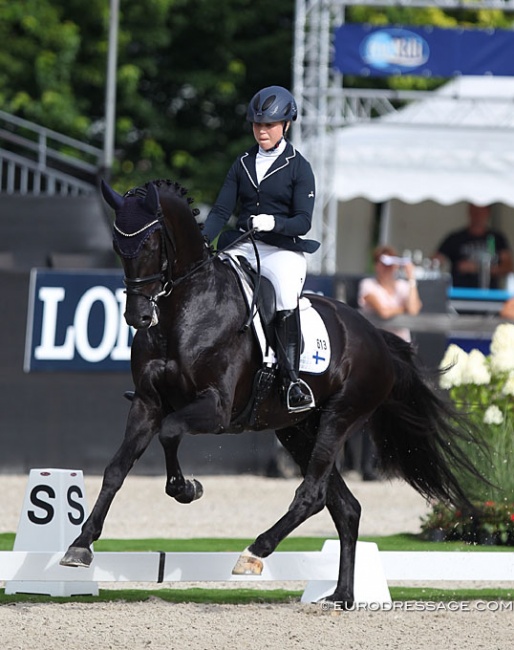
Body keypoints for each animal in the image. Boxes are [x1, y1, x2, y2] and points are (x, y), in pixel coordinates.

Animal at [62, 177, 482, 604]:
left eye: (149, 244)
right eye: (119, 247)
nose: (138, 316)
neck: (186, 310)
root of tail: (377, 337)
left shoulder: (214, 409)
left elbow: (170, 432)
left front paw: (186, 489)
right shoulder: (147, 404)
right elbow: (116, 469)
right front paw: (80, 545)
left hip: (339, 418)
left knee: (312, 494)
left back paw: (254, 552)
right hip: (297, 431)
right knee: (345, 507)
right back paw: (341, 596)